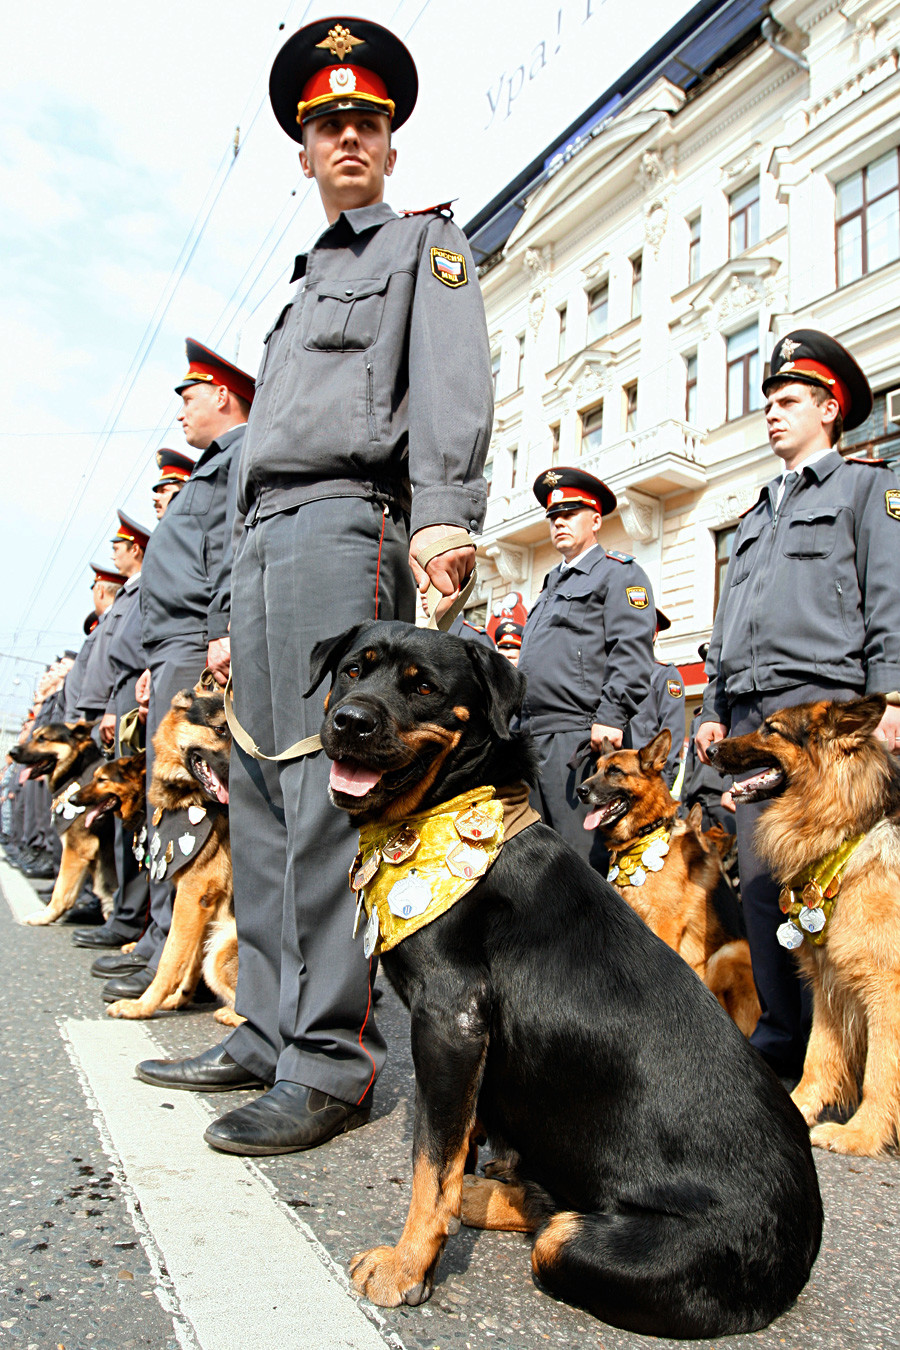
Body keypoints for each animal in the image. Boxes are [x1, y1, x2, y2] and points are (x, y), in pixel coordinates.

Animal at [9, 723, 123, 923]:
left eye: (42, 738)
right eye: (35, 735)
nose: (12, 752)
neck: (77, 770)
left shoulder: (76, 850)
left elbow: (61, 890)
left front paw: (45, 916)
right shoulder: (95, 855)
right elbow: (100, 890)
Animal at [104, 685, 238, 1020]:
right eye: (220, 729)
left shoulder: (192, 895)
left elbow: (170, 956)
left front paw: (142, 1006)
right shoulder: (202, 903)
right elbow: (189, 960)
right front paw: (178, 998)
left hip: (223, 943)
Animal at [577, 729, 761, 1031]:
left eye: (615, 771)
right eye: (596, 770)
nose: (580, 791)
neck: (644, 836)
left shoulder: (665, 924)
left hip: (731, 951)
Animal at [707, 702, 900, 1155]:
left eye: (771, 729)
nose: (709, 747)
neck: (848, 836)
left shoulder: (887, 988)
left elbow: (881, 1072)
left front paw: (862, 1134)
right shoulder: (831, 978)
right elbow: (819, 1056)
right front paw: (796, 1108)